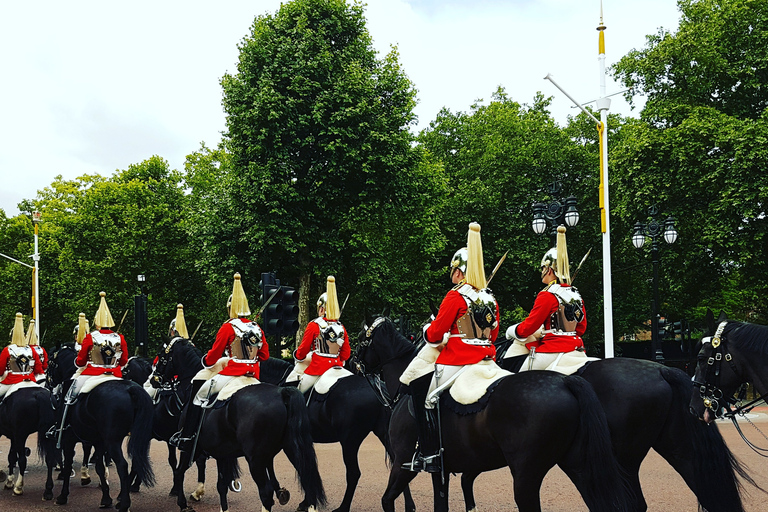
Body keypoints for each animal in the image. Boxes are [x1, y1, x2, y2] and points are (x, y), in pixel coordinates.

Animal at [45, 348, 155, 512]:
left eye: (50, 363)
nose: (48, 384)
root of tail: (132, 388)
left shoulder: (68, 440)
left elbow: (69, 464)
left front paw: (63, 496)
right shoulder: (99, 441)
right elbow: (99, 467)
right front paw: (106, 498)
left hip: (113, 441)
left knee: (122, 465)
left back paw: (124, 503)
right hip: (136, 438)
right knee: (136, 460)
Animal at [154, 338, 326, 512]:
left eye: (161, 356)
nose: (155, 379)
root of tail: (282, 393)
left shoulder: (191, 448)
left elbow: (180, 472)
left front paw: (184, 503)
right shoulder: (222, 453)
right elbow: (221, 485)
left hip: (255, 459)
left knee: (266, 492)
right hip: (291, 448)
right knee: (307, 477)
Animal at [260, 358, 416, 512]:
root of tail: (377, 389)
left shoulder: (288, 442)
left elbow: (299, 467)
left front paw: (294, 497)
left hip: (349, 441)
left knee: (353, 473)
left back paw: (343, 507)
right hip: (385, 436)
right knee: (398, 465)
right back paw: (409, 506)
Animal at [356, 316, 632, 512]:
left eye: (360, 340)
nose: (352, 364)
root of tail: (565, 381)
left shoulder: (404, 463)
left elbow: (387, 500)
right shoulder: (442, 471)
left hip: (526, 476)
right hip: (579, 465)